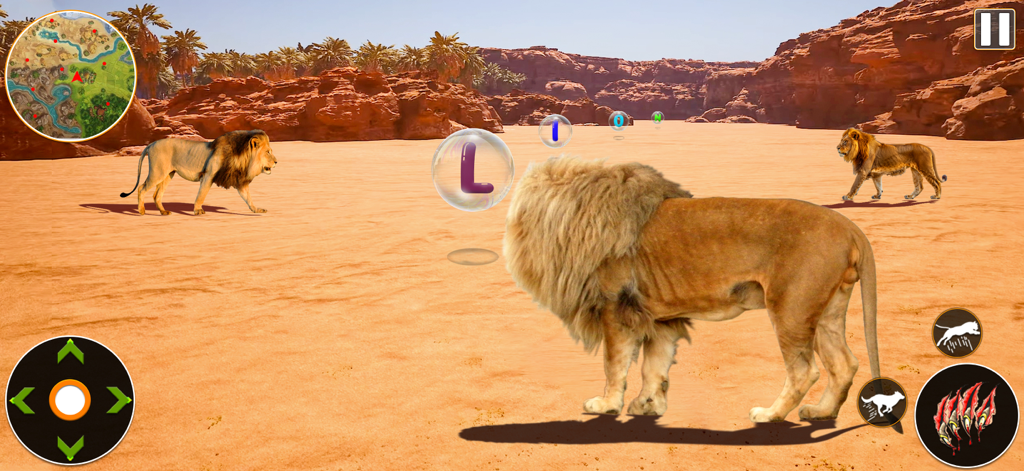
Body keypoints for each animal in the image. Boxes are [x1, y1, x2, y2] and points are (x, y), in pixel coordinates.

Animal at [120, 130, 277, 215]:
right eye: (268, 152)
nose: (276, 162)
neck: (243, 158)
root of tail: (151, 144)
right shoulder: (208, 175)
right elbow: (201, 194)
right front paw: (197, 210)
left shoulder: (239, 180)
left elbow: (248, 198)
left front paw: (257, 210)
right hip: (158, 172)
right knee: (141, 188)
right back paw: (141, 211)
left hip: (168, 175)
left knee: (156, 195)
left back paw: (163, 212)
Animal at [504, 156, 881, 422]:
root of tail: (849, 226)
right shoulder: (658, 317)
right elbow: (654, 365)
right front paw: (648, 405)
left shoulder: (616, 308)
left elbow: (614, 363)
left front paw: (608, 404)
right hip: (827, 311)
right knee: (844, 364)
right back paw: (821, 413)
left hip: (791, 309)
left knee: (805, 371)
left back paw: (769, 414)